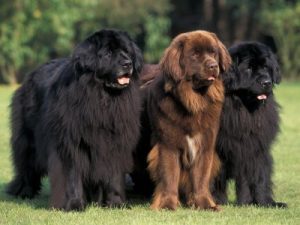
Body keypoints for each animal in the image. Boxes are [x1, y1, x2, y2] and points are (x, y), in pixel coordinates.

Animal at [6, 29, 143, 210]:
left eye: (126, 52)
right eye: (108, 53)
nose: (128, 63)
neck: (102, 98)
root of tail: (30, 75)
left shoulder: (115, 142)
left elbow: (114, 175)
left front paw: (116, 203)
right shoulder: (69, 143)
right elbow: (72, 175)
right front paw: (74, 204)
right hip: (28, 140)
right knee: (26, 165)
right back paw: (23, 191)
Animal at [132, 30, 231, 211]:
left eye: (213, 52)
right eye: (195, 54)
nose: (213, 65)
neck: (193, 102)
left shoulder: (205, 145)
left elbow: (201, 178)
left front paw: (205, 204)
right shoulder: (168, 145)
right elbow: (170, 175)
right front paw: (167, 205)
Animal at [212, 41, 288, 207]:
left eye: (266, 67)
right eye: (249, 68)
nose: (267, 82)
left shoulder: (255, 147)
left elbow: (259, 176)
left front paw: (262, 202)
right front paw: (215, 200)